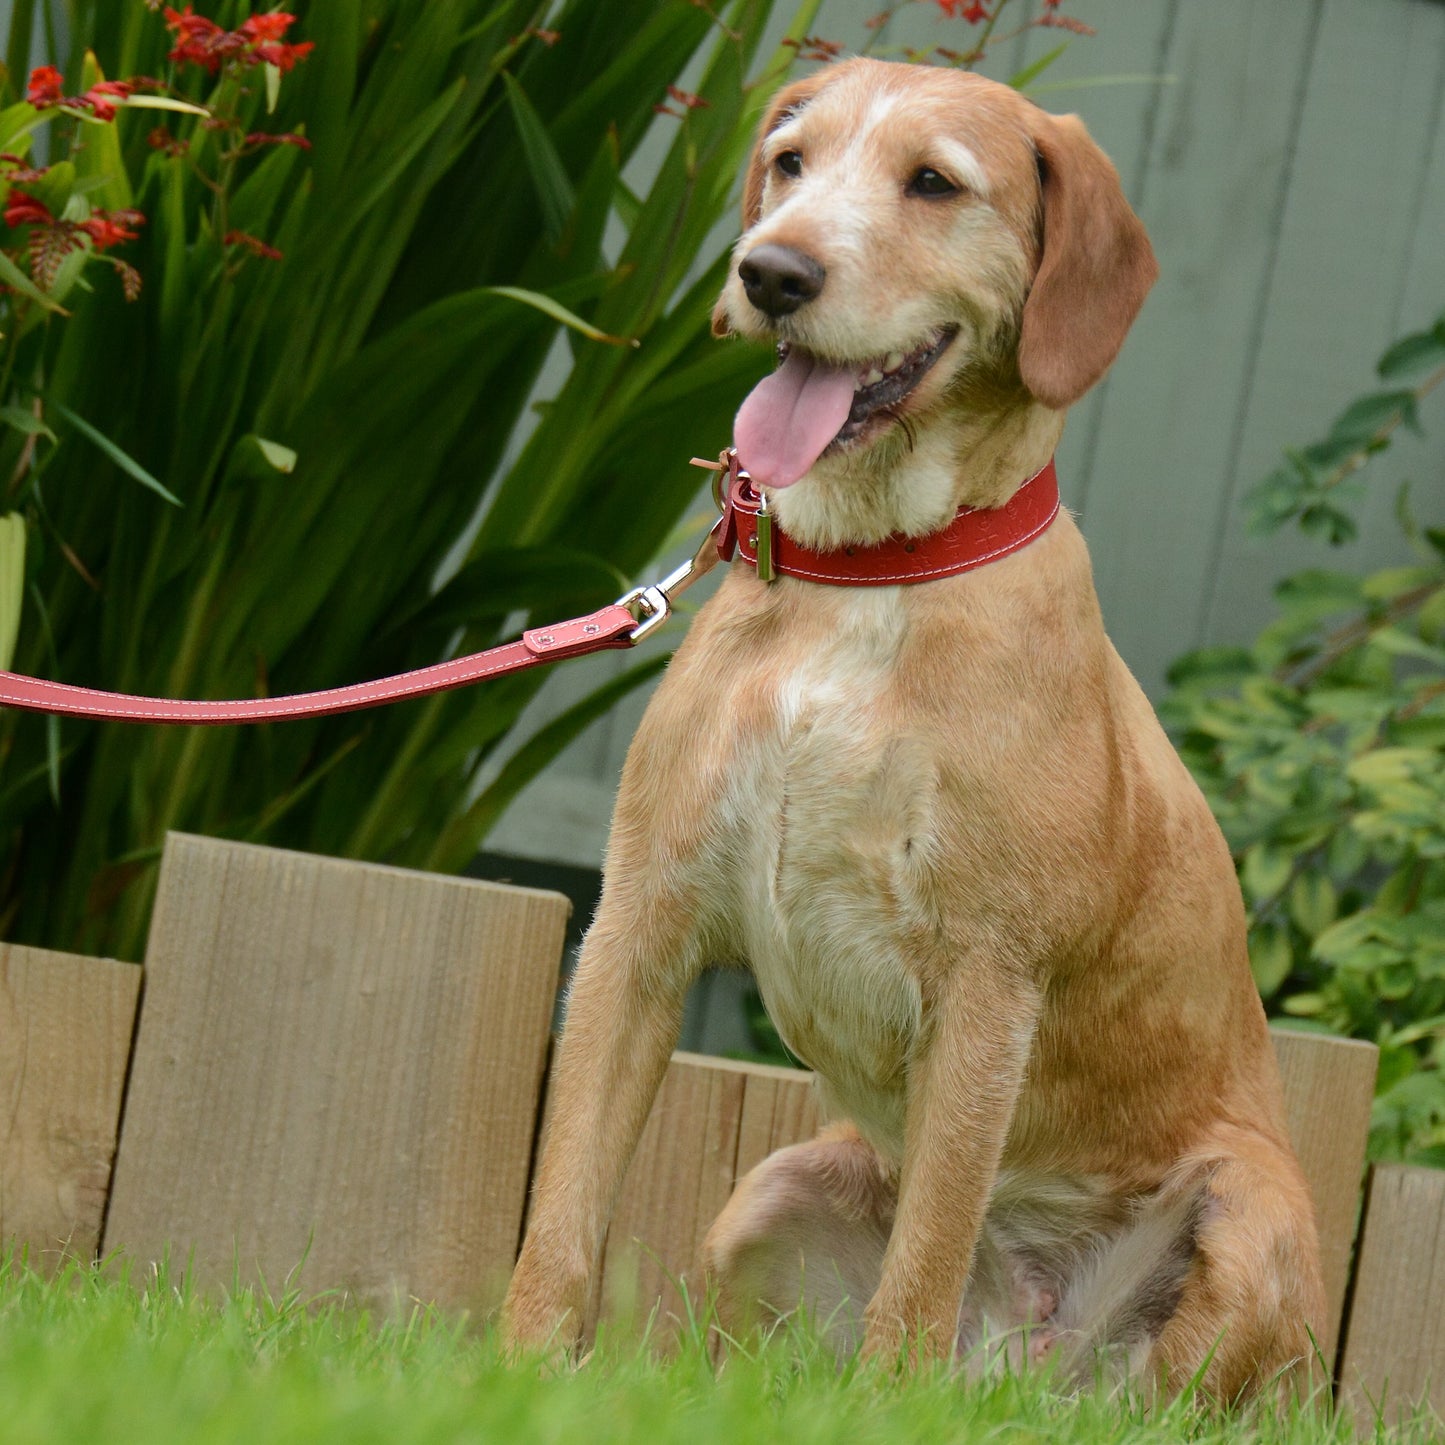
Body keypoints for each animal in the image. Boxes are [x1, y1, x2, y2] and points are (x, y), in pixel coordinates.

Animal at [502, 62, 1323, 1404]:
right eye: (790, 159)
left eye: (932, 182)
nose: (771, 272)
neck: (865, 575)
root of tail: (1019, 1356)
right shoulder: (638, 925)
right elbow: (563, 1210)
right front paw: (516, 1374)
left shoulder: (984, 985)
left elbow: (925, 1257)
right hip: (770, 1189)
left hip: (1244, 1219)